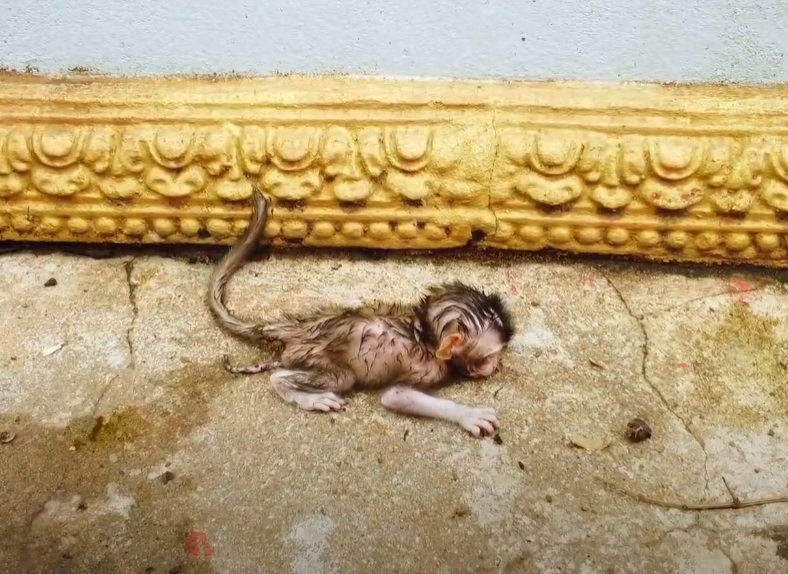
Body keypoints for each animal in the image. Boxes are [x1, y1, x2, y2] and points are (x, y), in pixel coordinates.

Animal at [207, 189, 516, 436]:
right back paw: (308, 396)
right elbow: (395, 396)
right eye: (489, 356)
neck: (426, 332)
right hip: (322, 359)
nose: (494, 366)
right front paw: (469, 415)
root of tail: (302, 326)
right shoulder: (428, 369)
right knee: (293, 377)